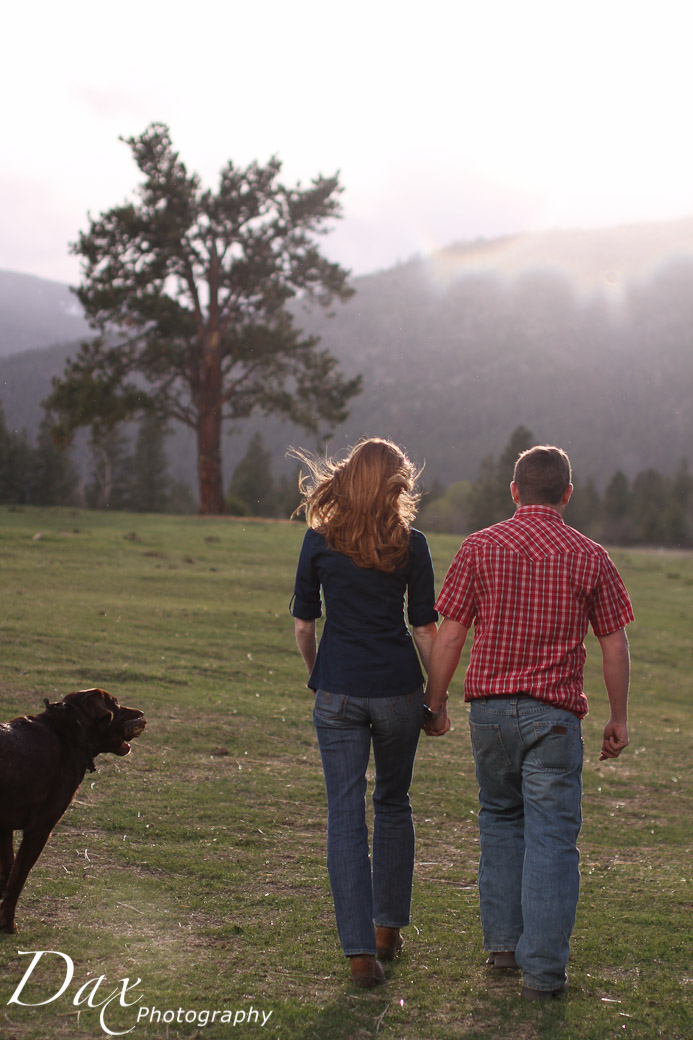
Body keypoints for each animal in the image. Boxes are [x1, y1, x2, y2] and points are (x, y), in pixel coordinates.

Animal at [0, 690, 145, 935]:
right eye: (115, 704)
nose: (142, 714)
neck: (74, 728)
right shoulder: (39, 829)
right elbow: (16, 880)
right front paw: (9, 925)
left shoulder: (5, 829)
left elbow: (7, 875)